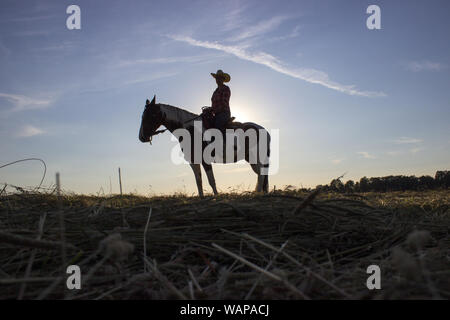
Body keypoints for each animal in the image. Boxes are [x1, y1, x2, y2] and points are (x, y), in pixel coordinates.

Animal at [139, 95, 268, 196]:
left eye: (151, 115)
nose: (142, 137)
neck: (189, 130)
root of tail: (264, 130)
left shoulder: (205, 160)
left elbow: (211, 180)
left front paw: (216, 196)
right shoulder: (193, 161)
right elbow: (198, 180)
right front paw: (201, 197)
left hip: (259, 157)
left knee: (262, 174)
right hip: (251, 159)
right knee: (260, 174)